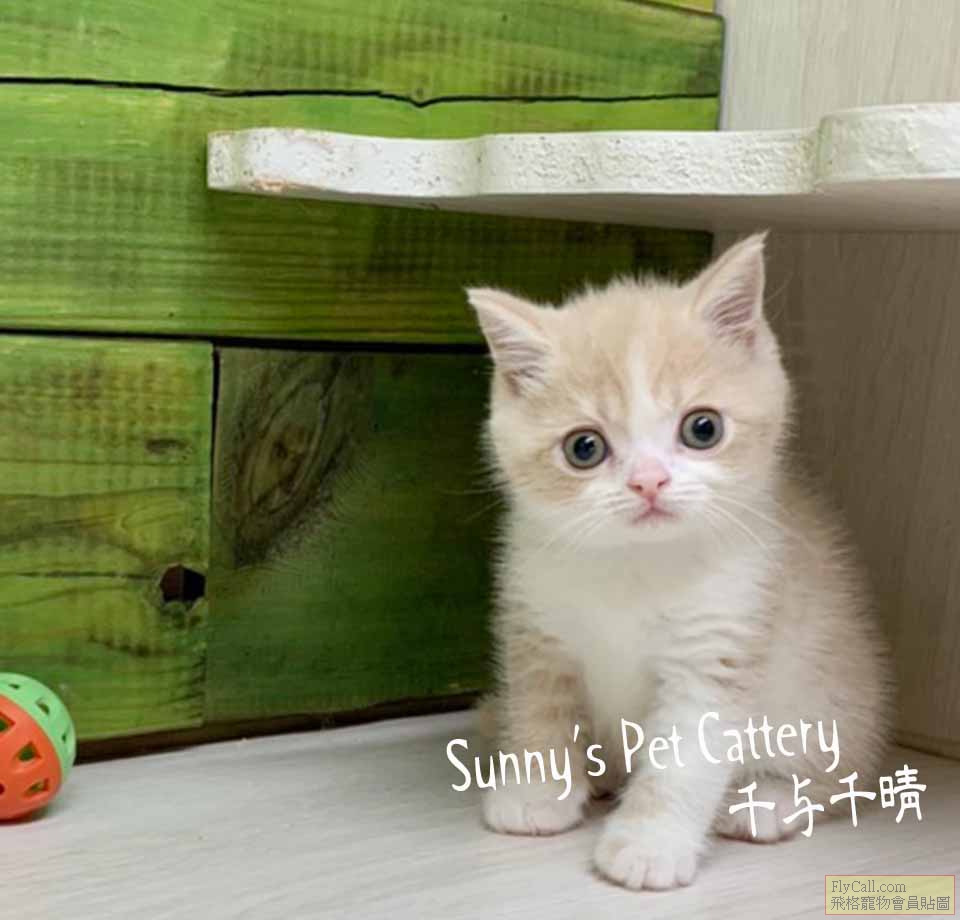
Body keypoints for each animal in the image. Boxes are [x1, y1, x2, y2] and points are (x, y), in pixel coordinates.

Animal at [466, 233, 893, 891]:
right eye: (584, 448)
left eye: (703, 429)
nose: (649, 482)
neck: (634, 565)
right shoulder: (536, 624)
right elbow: (540, 709)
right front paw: (537, 793)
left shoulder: (721, 640)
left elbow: (683, 759)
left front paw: (649, 844)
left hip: (829, 695)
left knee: (843, 772)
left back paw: (768, 800)